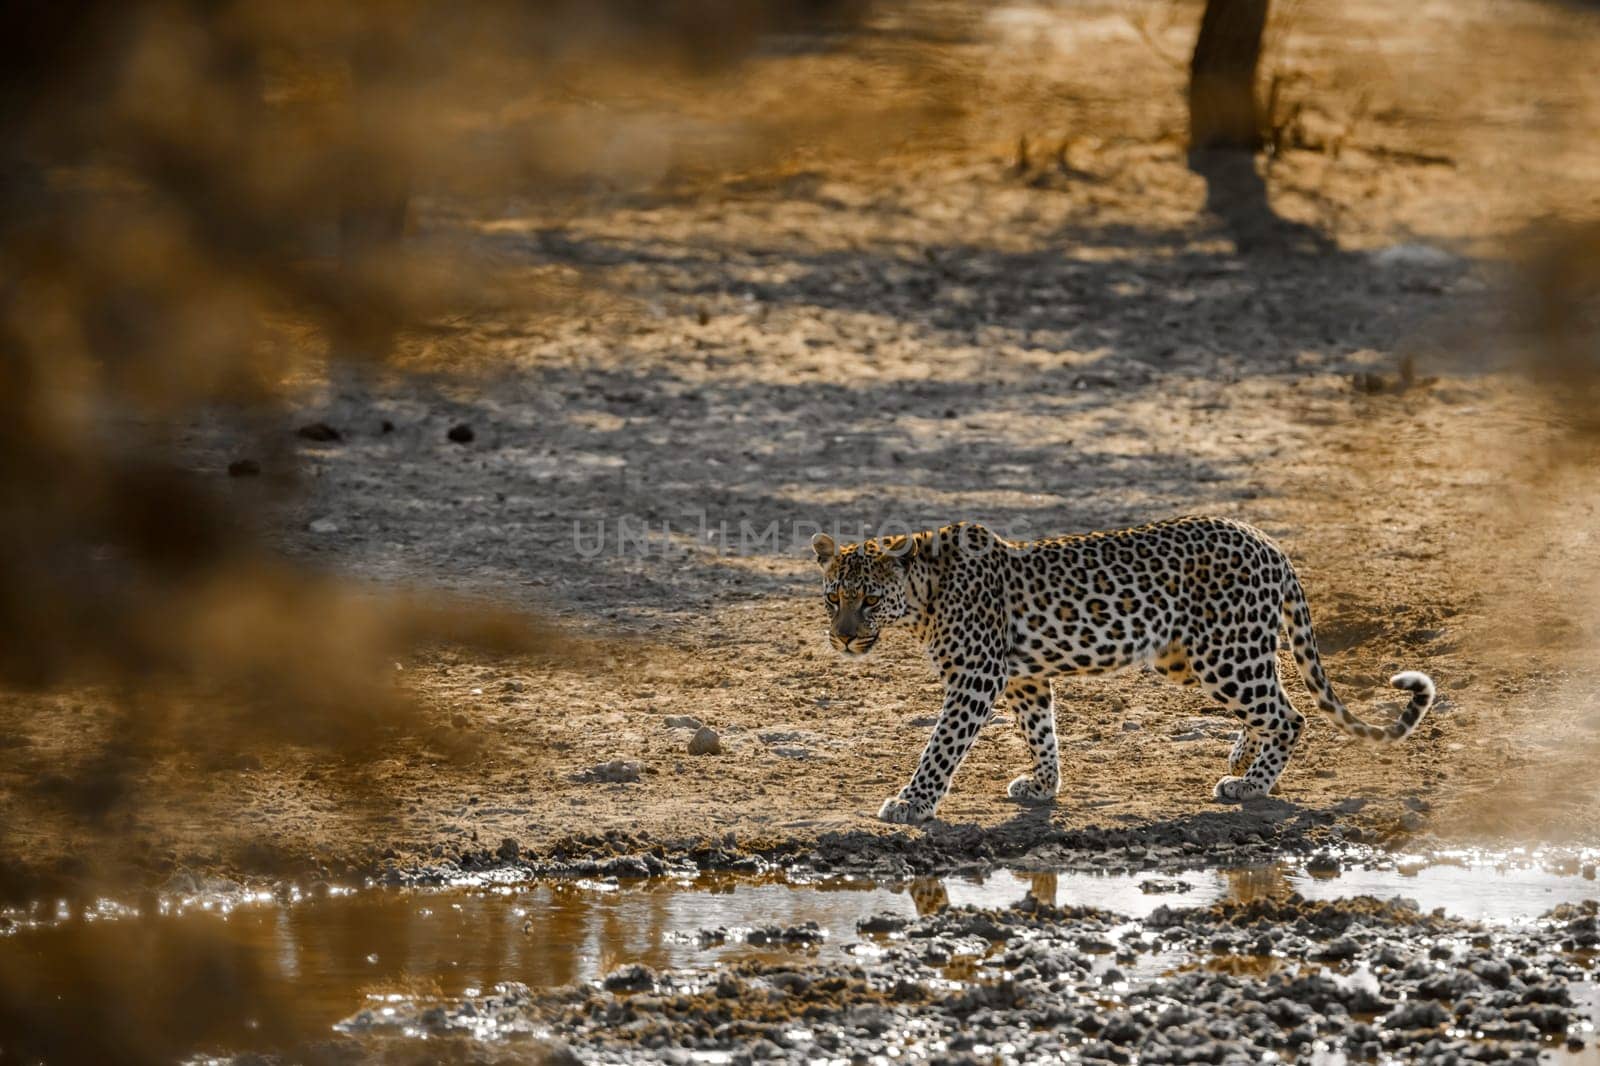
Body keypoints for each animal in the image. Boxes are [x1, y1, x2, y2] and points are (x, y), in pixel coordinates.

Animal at [812, 515, 1440, 819]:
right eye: (833, 597)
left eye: (868, 600)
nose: (842, 638)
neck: (924, 595)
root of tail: (1267, 541)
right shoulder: (1025, 678)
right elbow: (1041, 732)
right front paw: (1044, 785)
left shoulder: (976, 678)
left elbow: (940, 747)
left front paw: (911, 803)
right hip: (1192, 655)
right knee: (1275, 696)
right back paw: (1242, 757)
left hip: (1222, 652)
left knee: (1290, 716)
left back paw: (1251, 784)